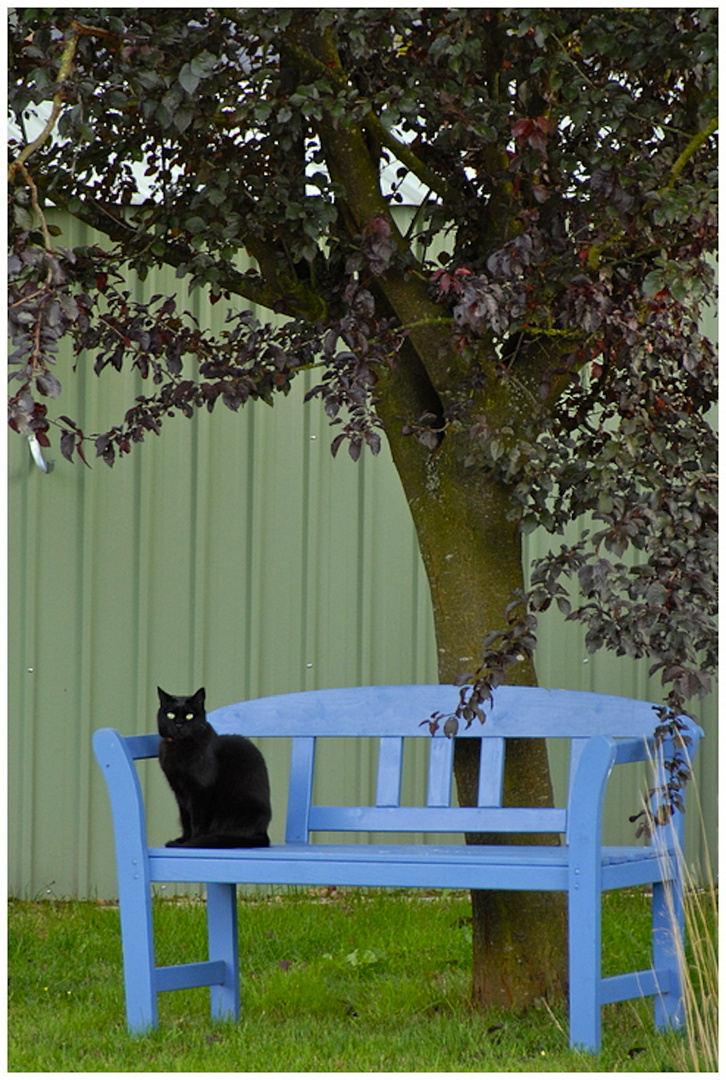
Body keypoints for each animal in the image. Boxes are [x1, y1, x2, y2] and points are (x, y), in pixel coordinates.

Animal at [157, 686, 271, 846]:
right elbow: (186, 819)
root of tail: (263, 833)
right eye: (170, 715)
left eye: (190, 716)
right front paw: (183, 839)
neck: (179, 747)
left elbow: (197, 820)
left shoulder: (201, 790)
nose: (179, 724)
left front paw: (192, 841)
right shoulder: (179, 791)